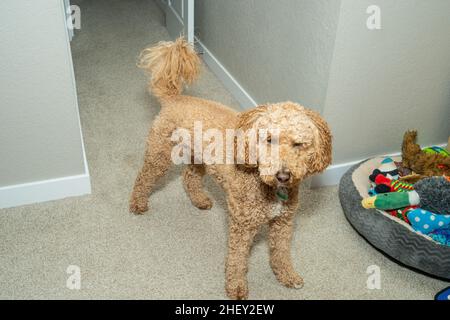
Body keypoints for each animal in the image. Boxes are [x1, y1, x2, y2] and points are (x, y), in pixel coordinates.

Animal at [128, 37, 332, 300]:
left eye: (299, 144)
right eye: (268, 140)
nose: (283, 175)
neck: (262, 181)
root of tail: (175, 97)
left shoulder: (284, 224)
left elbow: (281, 254)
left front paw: (287, 276)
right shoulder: (242, 227)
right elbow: (237, 260)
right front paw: (236, 287)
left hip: (198, 158)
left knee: (189, 177)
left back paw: (199, 199)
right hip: (160, 155)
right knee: (144, 178)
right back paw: (138, 203)